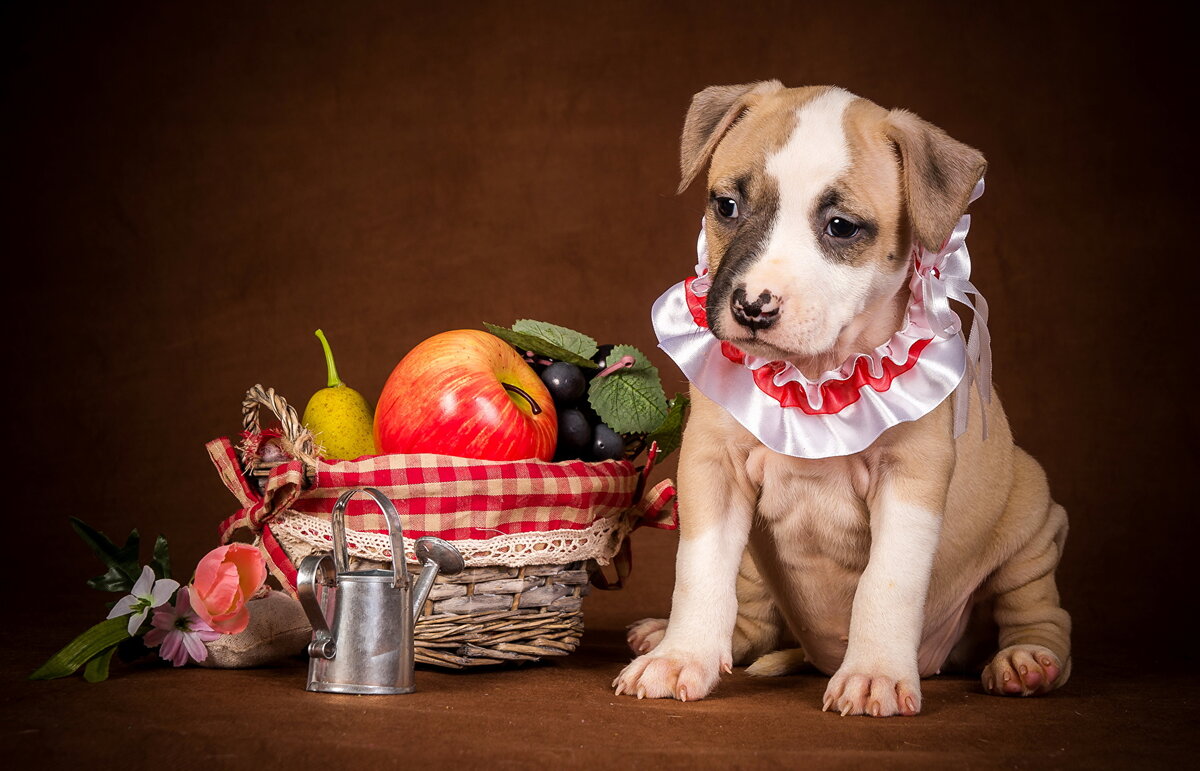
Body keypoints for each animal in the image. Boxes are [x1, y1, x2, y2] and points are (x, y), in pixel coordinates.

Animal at [614, 81, 1075, 710]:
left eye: (841, 227)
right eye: (726, 206)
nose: (752, 307)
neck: (815, 376)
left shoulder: (910, 480)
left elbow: (888, 582)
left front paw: (875, 672)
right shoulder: (713, 467)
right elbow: (700, 569)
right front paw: (680, 657)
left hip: (1032, 520)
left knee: (1040, 612)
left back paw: (1026, 661)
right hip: (757, 568)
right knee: (751, 619)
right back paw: (672, 638)